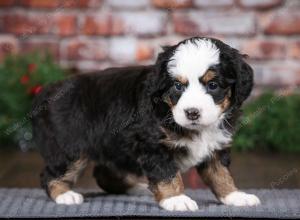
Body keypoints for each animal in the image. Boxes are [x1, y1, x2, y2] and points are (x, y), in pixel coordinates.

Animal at [31, 37, 260, 211]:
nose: (192, 112)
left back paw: (137, 188)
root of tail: (47, 92)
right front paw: (176, 199)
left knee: (104, 174)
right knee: (50, 174)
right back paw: (64, 195)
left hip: (113, 147)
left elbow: (221, 174)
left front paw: (235, 196)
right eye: (177, 86)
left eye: (213, 85)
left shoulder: (215, 147)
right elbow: (167, 173)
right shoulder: (153, 145)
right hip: (69, 148)